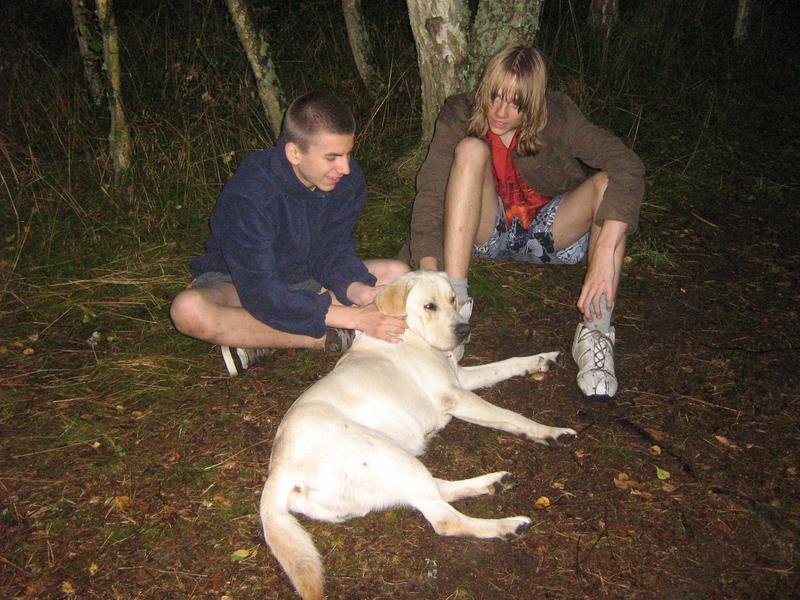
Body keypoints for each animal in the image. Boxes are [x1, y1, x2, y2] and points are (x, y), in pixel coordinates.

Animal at [260, 271, 577, 599]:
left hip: (393, 468)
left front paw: (541, 359)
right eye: (429, 306)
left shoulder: (461, 379)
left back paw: (493, 483)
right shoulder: (456, 396)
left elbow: (507, 364)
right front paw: (551, 432)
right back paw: (508, 525)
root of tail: (279, 471)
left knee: (436, 491)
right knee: (444, 519)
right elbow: (511, 416)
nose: (464, 329)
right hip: (388, 455)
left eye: (452, 299)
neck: (413, 333)